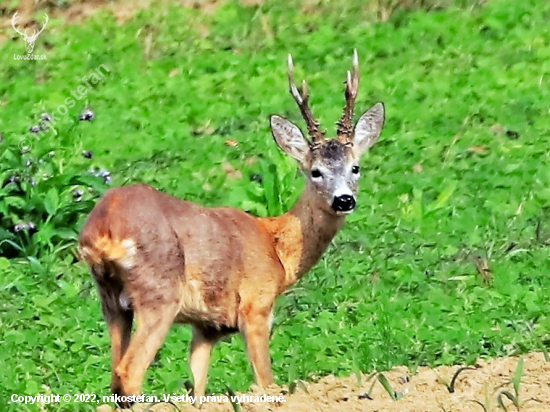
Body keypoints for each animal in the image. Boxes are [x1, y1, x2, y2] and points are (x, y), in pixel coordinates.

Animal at [80, 50, 386, 408]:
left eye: (355, 167)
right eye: (315, 171)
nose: (344, 199)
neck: (277, 248)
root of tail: (103, 227)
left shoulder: (206, 327)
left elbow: (197, 387)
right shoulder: (255, 305)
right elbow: (265, 381)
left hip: (111, 300)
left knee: (115, 377)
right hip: (159, 293)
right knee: (129, 374)